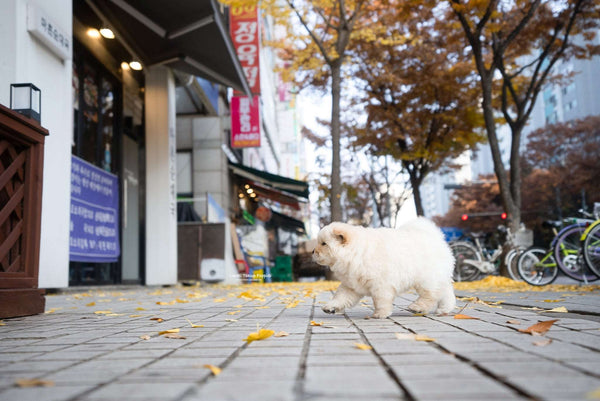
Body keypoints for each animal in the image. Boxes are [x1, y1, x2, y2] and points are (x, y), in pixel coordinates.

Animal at [314, 217, 454, 318]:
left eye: (324, 244)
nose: (313, 251)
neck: (357, 253)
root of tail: (436, 238)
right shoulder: (351, 285)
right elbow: (340, 297)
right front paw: (330, 307)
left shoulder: (380, 284)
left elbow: (380, 300)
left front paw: (380, 314)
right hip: (437, 277)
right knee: (446, 292)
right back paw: (444, 309)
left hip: (426, 278)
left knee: (431, 294)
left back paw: (417, 307)